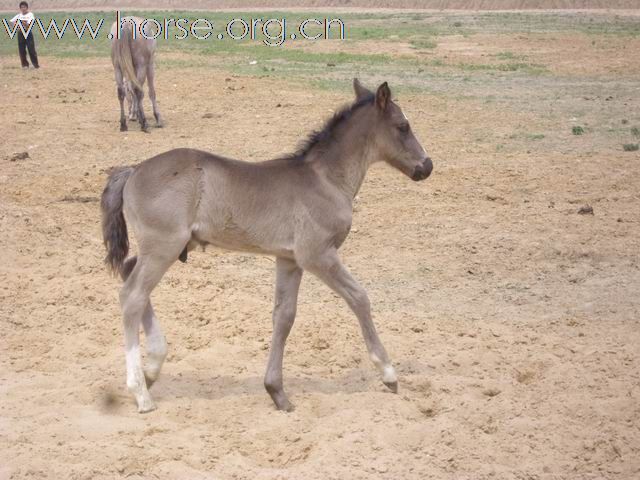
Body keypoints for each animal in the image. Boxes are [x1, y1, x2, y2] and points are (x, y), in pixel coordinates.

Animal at [101, 79, 430, 412]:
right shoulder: (317, 255)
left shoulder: (289, 260)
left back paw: (152, 369)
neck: (325, 180)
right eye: (403, 126)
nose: (426, 166)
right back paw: (141, 392)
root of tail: (133, 170)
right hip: (164, 246)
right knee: (132, 295)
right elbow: (359, 298)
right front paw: (388, 373)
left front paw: (277, 392)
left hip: (164, 247)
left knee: (129, 272)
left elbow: (284, 316)